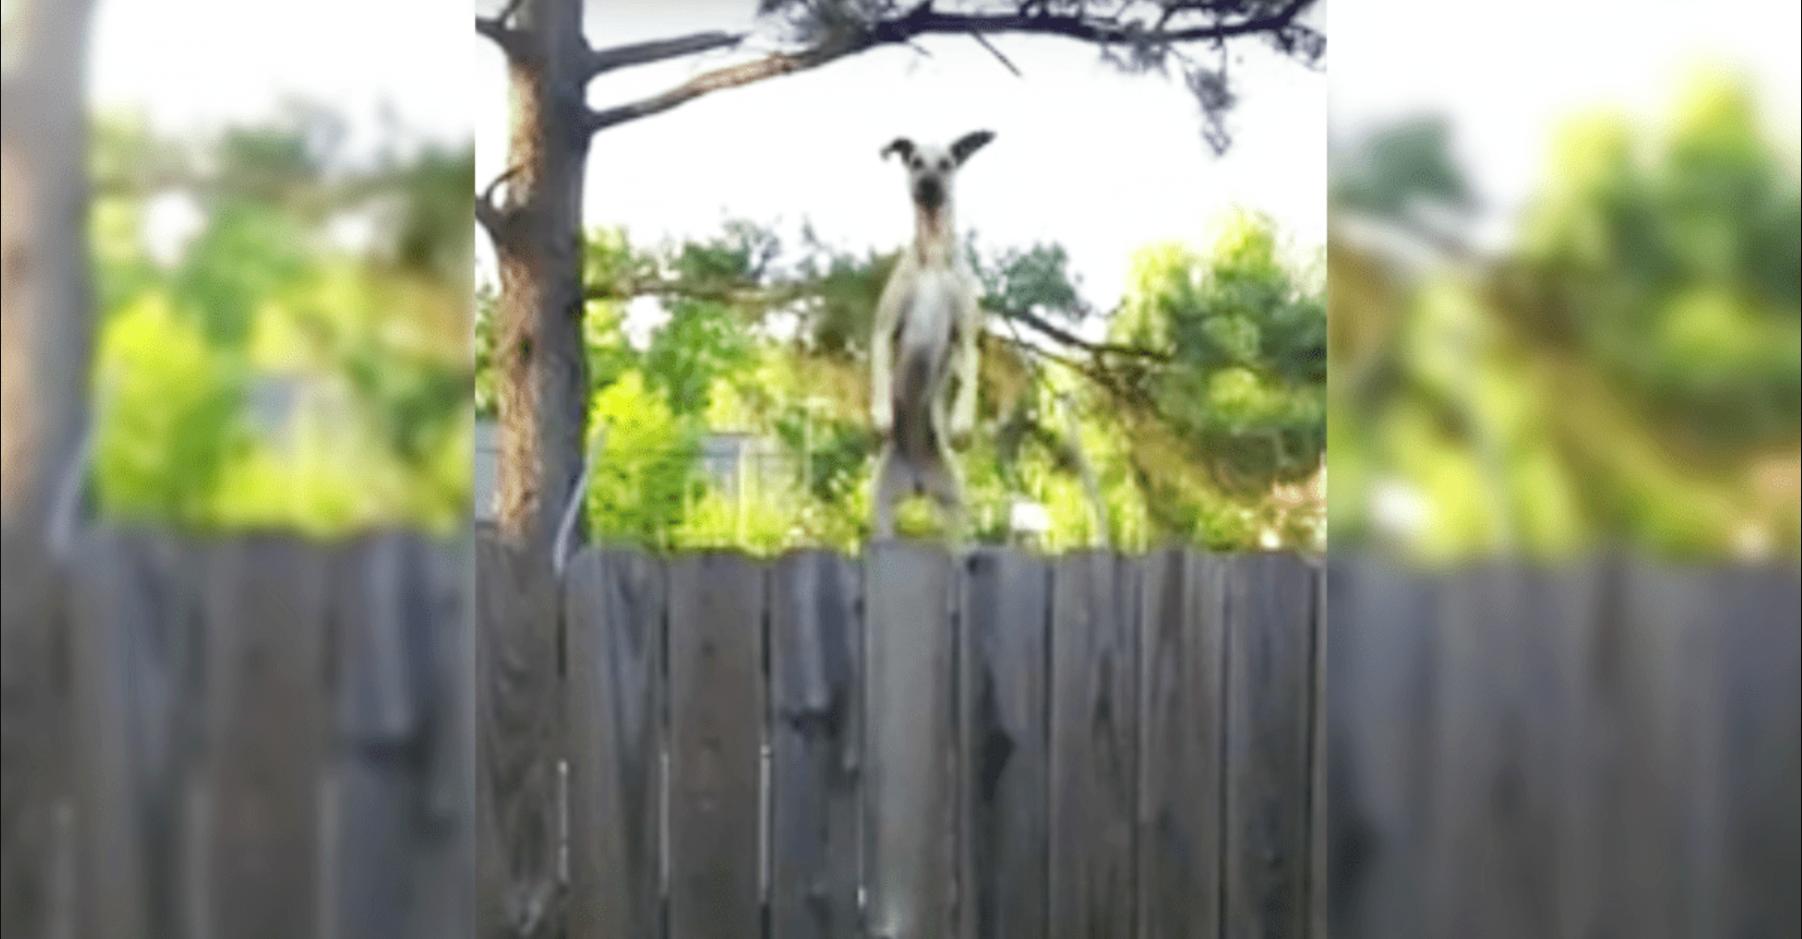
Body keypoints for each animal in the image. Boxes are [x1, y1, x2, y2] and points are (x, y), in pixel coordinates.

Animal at [869, 129, 995, 541]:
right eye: (914, 162)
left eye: (947, 164)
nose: (926, 185)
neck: (934, 257)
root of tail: (917, 482)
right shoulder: (884, 327)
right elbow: (879, 368)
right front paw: (881, 415)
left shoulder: (966, 334)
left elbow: (970, 374)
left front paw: (961, 424)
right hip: (881, 514)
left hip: (955, 510)